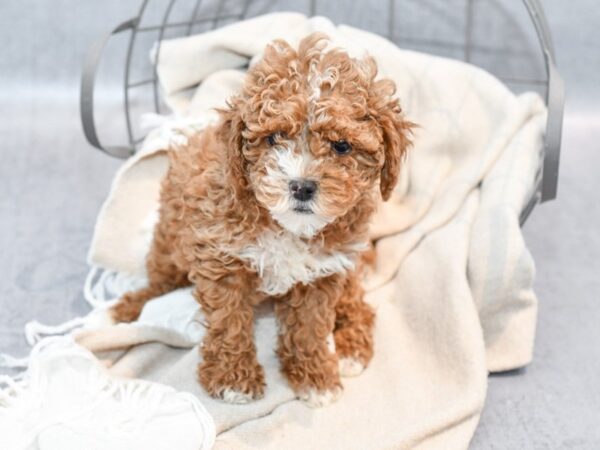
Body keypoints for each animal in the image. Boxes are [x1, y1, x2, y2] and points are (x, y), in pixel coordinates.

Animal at [111, 32, 412, 408]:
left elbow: (309, 327)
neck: (286, 227)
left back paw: (351, 349)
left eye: (341, 146)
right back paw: (132, 306)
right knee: (160, 280)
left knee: (358, 302)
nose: (301, 186)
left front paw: (315, 377)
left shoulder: (323, 270)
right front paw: (233, 379)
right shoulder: (221, 257)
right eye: (273, 138)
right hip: (169, 242)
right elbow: (229, 321)